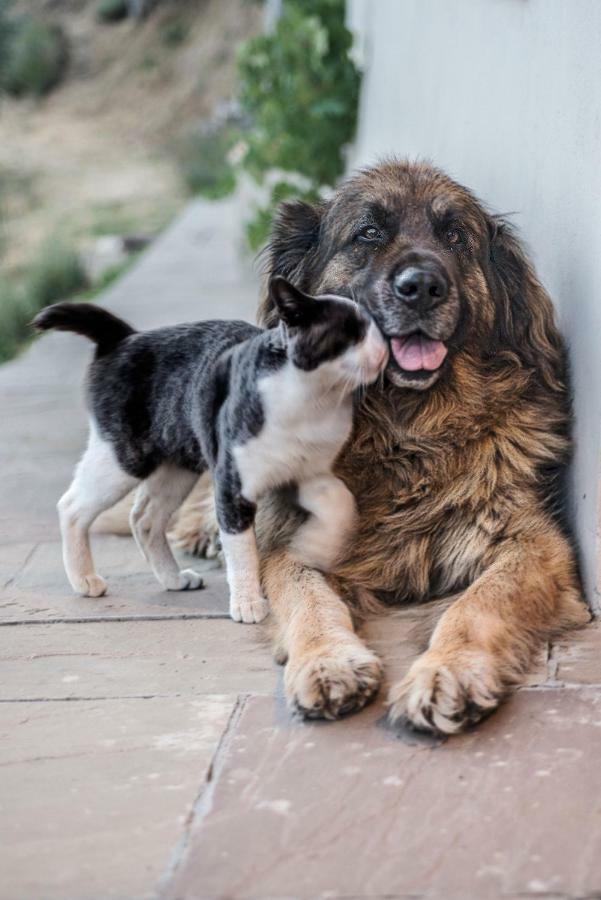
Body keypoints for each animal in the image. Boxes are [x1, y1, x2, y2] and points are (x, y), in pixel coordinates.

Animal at [34, 278, 390, 624]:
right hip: (124, 458)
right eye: (350, 332)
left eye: (379, 330)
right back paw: (84, 580)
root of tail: (125, 337)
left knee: (145, 518)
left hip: (176, 469)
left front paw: (315, 546)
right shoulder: (232, 486)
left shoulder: (308, 473)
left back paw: (173, 579)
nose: (383, 352)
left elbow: (341, 503)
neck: (314, 400)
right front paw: (247, 603)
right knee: (72, 506)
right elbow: (242, 550)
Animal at [173, 162, 584, 736]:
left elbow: (477, 604)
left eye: (455, 237)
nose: (423, 287)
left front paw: (446, 672)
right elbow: (308, 600)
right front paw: (327, 661)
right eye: (368, 233)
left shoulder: (531, 543)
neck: (404, 431)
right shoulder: (290, 546)